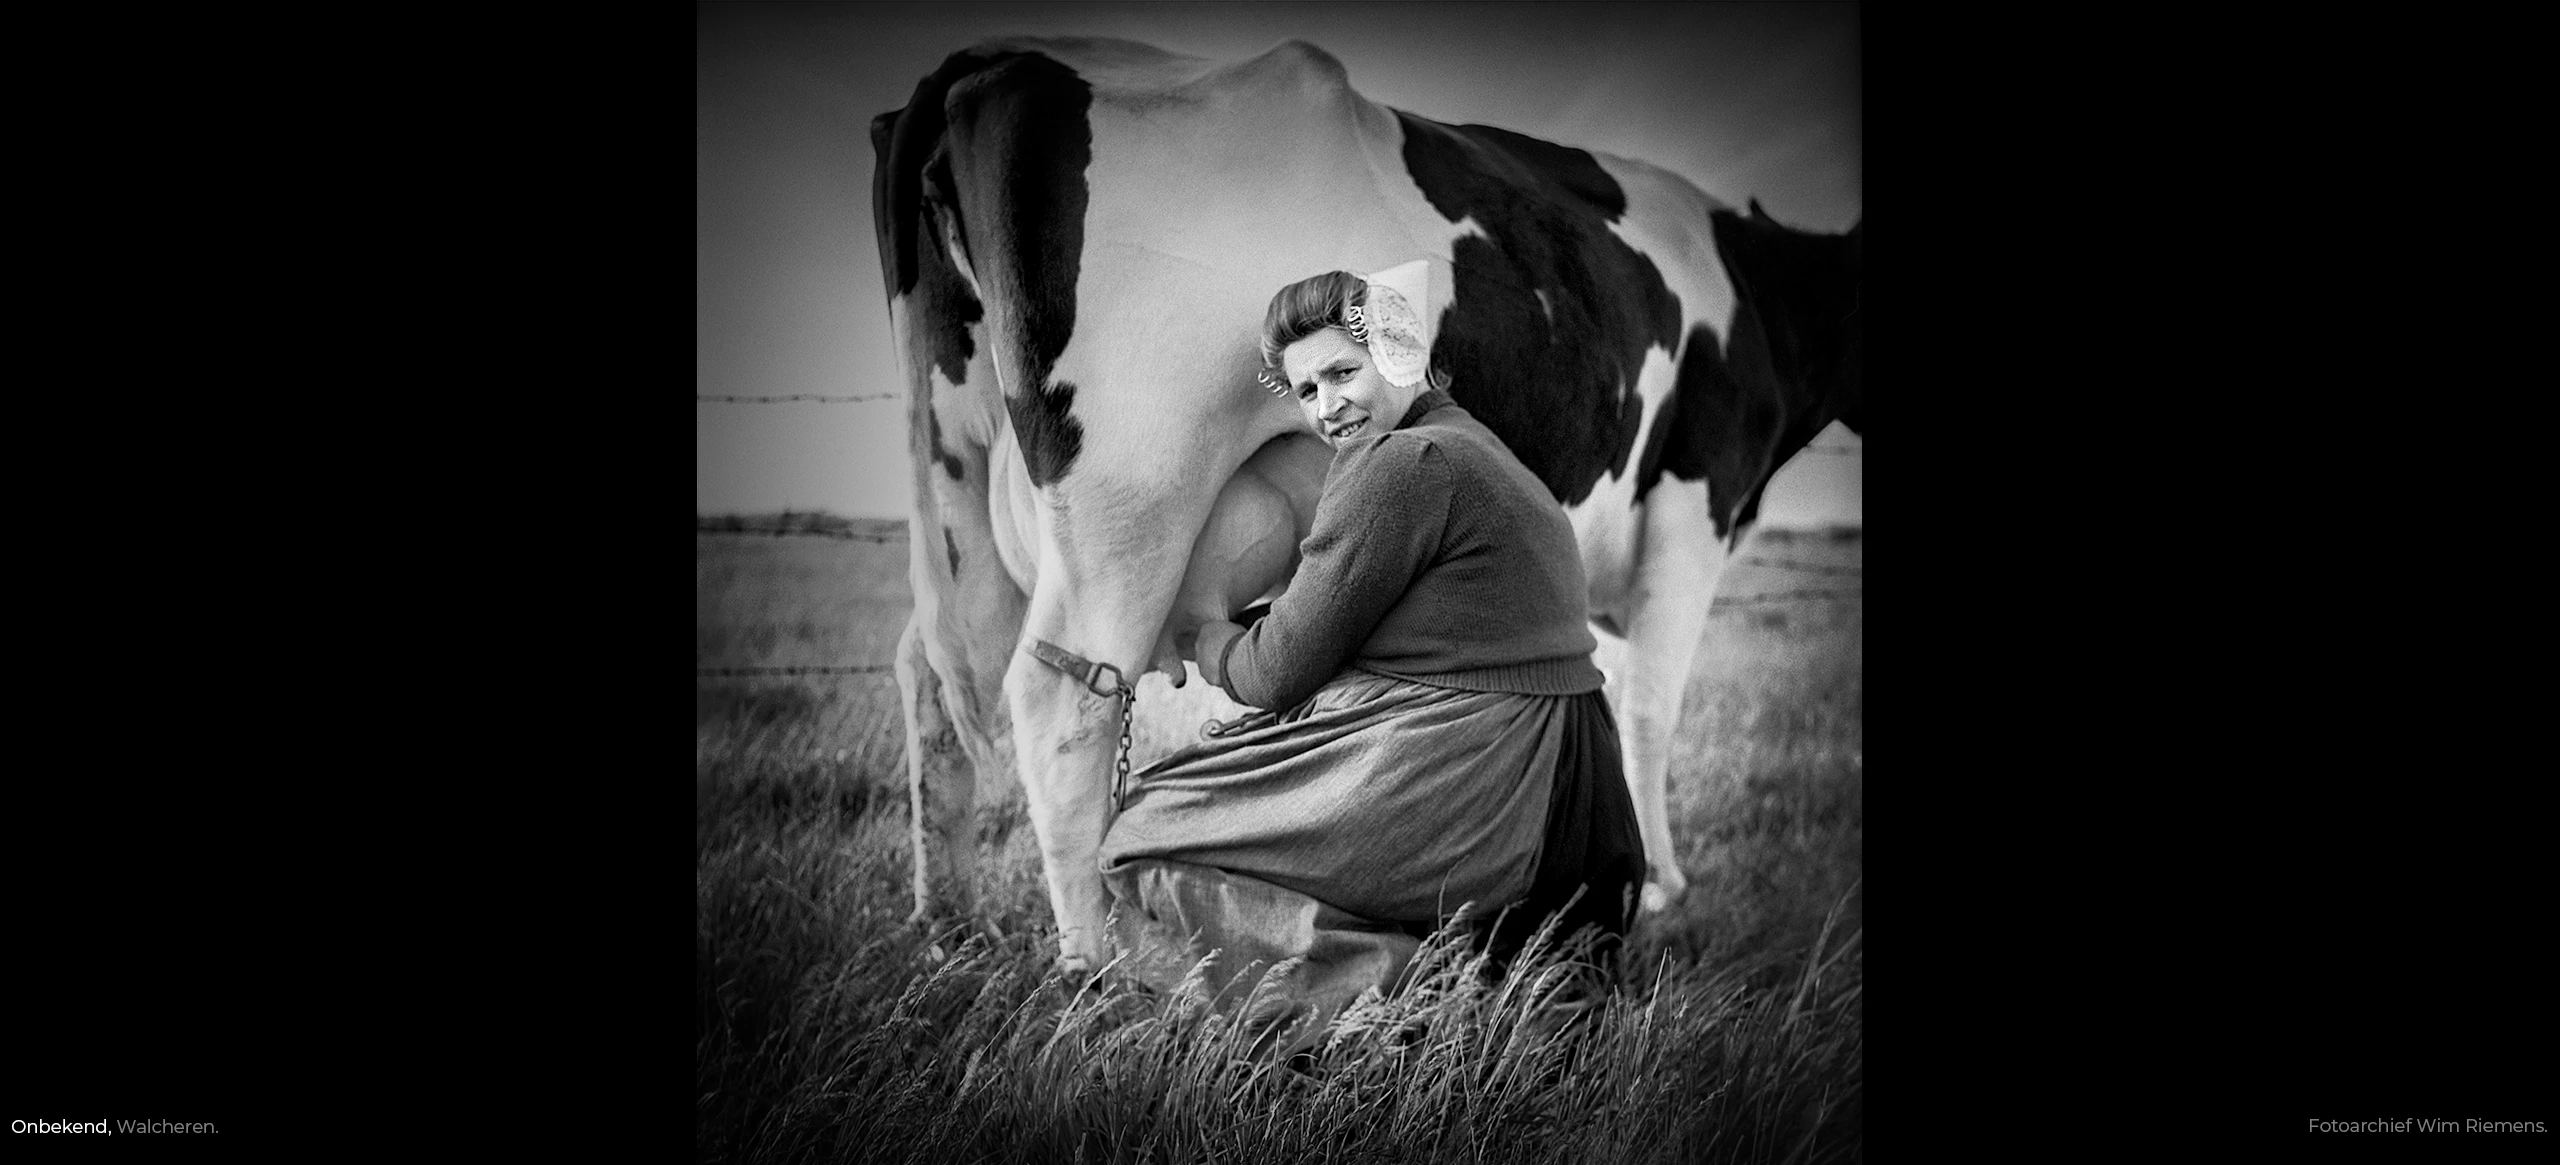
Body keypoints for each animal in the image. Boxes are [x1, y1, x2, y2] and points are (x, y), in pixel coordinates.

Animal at [875, 36, 1863, 972]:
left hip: (956, 482)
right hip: (1130, 491)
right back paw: (1102, 969)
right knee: (1061, 699)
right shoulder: (1698, 502)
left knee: (934, 674)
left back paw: (945, 926)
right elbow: (1653, 704)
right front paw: (1662, 888)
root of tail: (1002, 57)